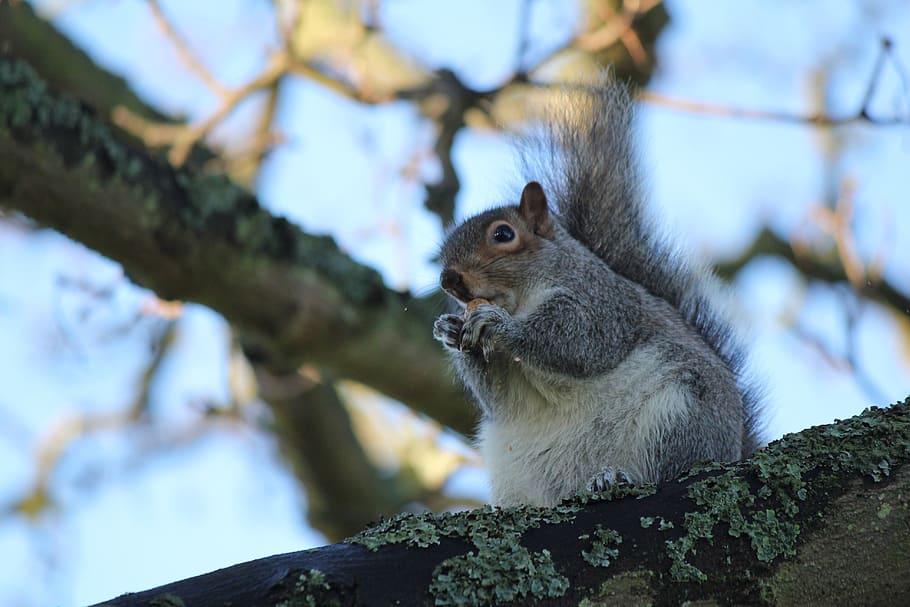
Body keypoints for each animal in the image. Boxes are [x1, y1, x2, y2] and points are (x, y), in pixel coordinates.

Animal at [432, 82, 764, 507]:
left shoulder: (600, 301)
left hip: (681, 415)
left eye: (503, 234)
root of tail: (733, 450)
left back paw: (617, 477)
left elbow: (581, 343)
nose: (448, 279)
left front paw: (500, 326)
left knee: (668, 469)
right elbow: (499, 397)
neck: (522, 298)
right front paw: (450, 330)